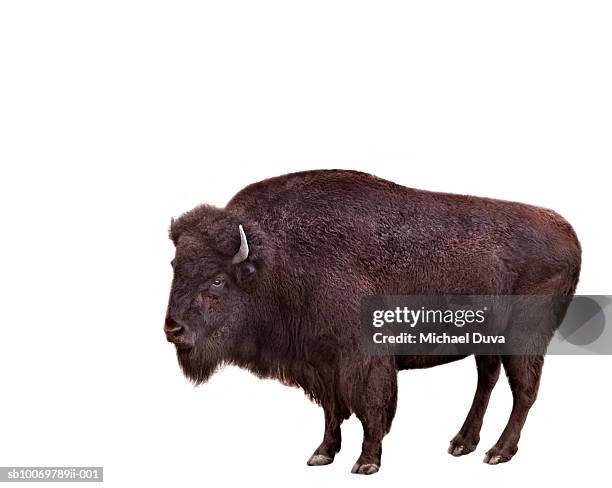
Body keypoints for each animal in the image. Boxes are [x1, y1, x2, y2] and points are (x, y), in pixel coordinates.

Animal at [165, 170, 580, 474]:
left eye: (218, 279)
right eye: (174, 266)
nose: (172, 328)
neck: (275, 260)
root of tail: (568, 232)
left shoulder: (363, 360)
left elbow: (371, 408)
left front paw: (366, 463)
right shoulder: (321, 363)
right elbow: (332, 410)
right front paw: (322, 453)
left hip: (524, 339)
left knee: (524, 390)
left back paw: (498, 452)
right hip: (486, 340)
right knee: (488, 381)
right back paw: (462, 443)